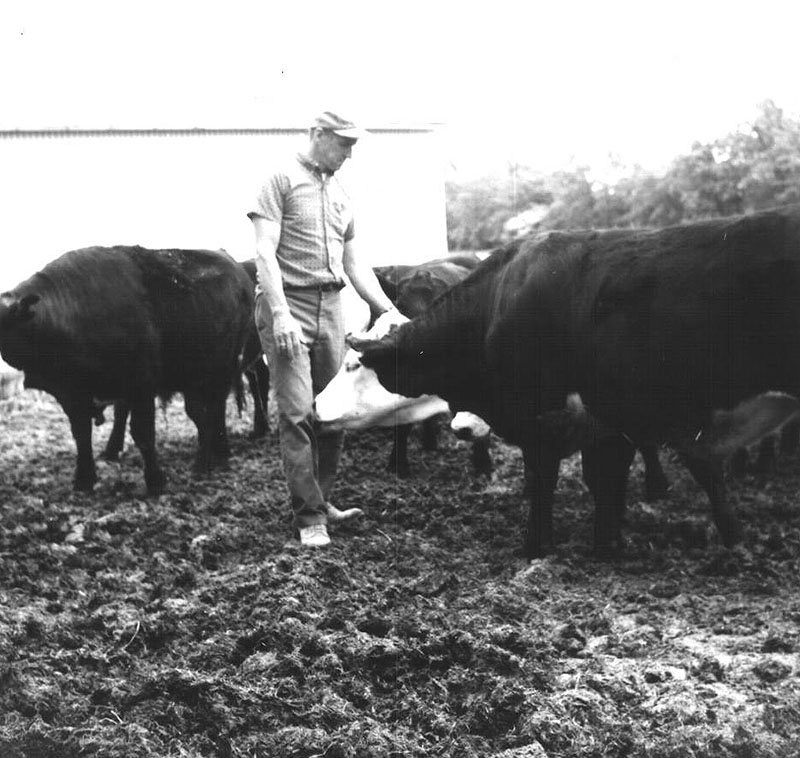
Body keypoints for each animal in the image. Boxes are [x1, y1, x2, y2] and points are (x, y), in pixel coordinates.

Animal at [0, 245, 253, 498]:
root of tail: (234, 265)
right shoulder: (73, 395)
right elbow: (82, 435)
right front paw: (84, 480)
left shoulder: (141, 385)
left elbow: (143, 433)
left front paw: (155, 481)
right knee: (203, 413)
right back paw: (214, 455)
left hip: (224, 366)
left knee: (216, 408)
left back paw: (211, 458)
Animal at [322, 208, 800, 560]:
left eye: (353, 365)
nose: (315, 407)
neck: (495, 309)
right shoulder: (606, 422)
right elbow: (606, 483)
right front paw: (609, 542)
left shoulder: (546, 418)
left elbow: (547, 480)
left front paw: (537, 547)